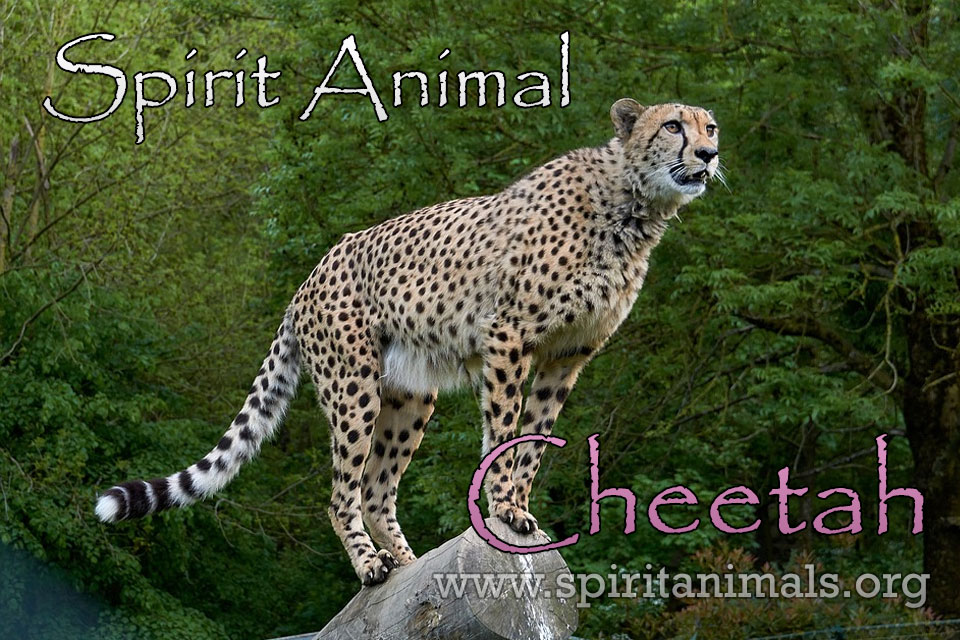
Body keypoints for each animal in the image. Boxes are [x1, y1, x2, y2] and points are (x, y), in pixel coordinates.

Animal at [95, 99, 721, 586]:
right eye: (673, 126)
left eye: (710, 127)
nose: (709, 156)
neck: (632, 205)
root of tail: (308, 278)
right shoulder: (509, 334)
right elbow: (504, 431)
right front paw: (500, 506)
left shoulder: (567, 356)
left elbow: (536, 440)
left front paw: (518, 508)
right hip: (354, 386)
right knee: (342, 493)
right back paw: (371, 565)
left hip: (411, 394)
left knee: (376, 488)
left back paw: (409, 562)